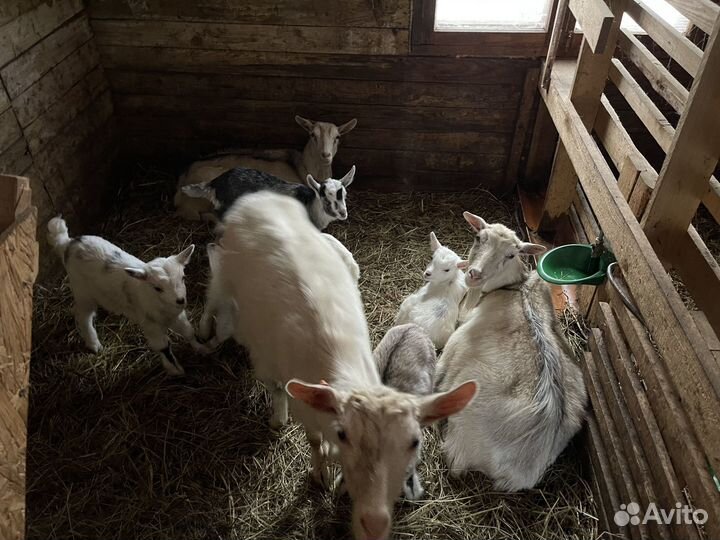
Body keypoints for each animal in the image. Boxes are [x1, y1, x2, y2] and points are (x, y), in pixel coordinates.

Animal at [46, 217, 208, 375]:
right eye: (157, 288)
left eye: (183, 278)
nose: (180, 300)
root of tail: (68, 243)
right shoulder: (150, 324)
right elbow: (163, 346)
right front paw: (175, 370)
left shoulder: (177, 316)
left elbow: (188, 332)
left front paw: (202, 348)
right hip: (82, 291)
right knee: (82, 315)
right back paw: (94, 344)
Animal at [436, 212, 587, 491]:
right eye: (478, 237)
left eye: (510, 255)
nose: (474, 274)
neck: (515, 288)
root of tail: (522, 467)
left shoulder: (454, 344)